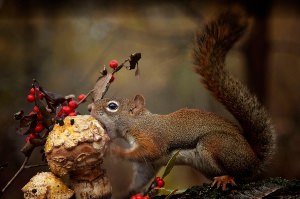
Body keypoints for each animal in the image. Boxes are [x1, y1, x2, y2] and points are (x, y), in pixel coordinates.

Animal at [90, 6, 276, 196]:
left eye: (112, 106)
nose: (90, 108)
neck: (139, 122)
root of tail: (254, 158)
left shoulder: (150, 138)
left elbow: (149, 151)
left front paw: (115, 150)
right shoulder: (146, 165)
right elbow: (141, 176)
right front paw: (130, 192)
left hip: (217, 144)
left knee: (241, 174)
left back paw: (226, 178)